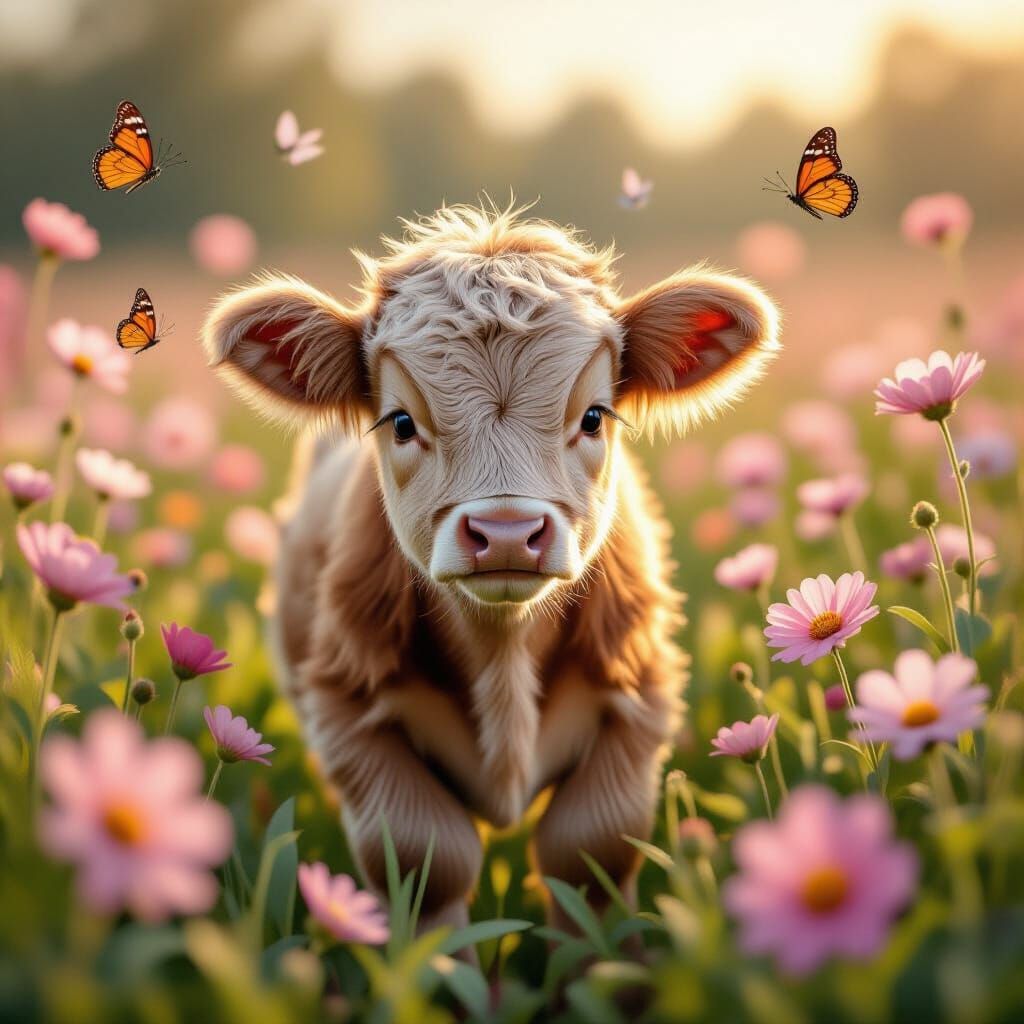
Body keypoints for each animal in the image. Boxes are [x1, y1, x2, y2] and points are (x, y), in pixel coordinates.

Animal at [203, 204, 779, 941]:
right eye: (399, 422)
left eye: (594, 416)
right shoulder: (349, 716)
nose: (507, 534)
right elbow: (425, 859)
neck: (503, 652)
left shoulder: (637, 697)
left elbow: (589, 850)